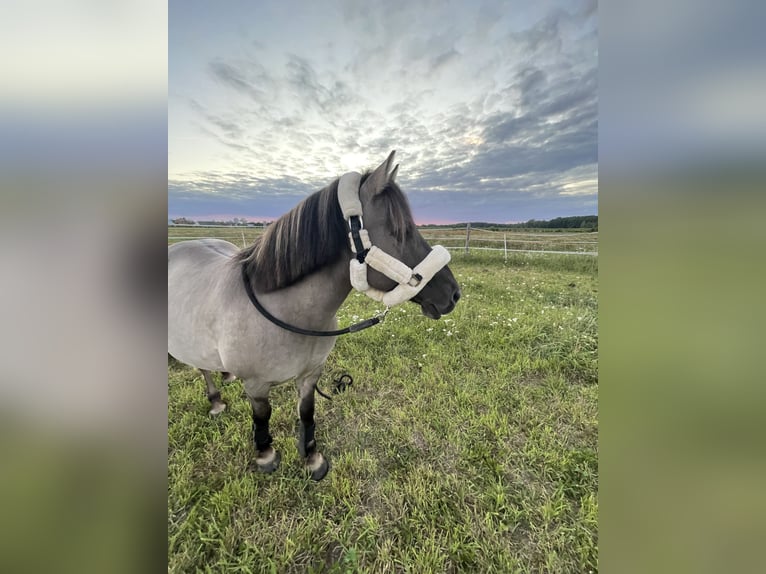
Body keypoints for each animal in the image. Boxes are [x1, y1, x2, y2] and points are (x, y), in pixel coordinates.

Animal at [168, 152, 461, 480]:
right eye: (400, 231)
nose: (453, 294)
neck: (287, 314)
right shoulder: (256, 386)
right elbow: (262, 417)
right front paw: (265, 455)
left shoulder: (310, 376)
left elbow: (307, 414)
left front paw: (312, 459)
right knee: (201, 368)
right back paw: (216, 402)